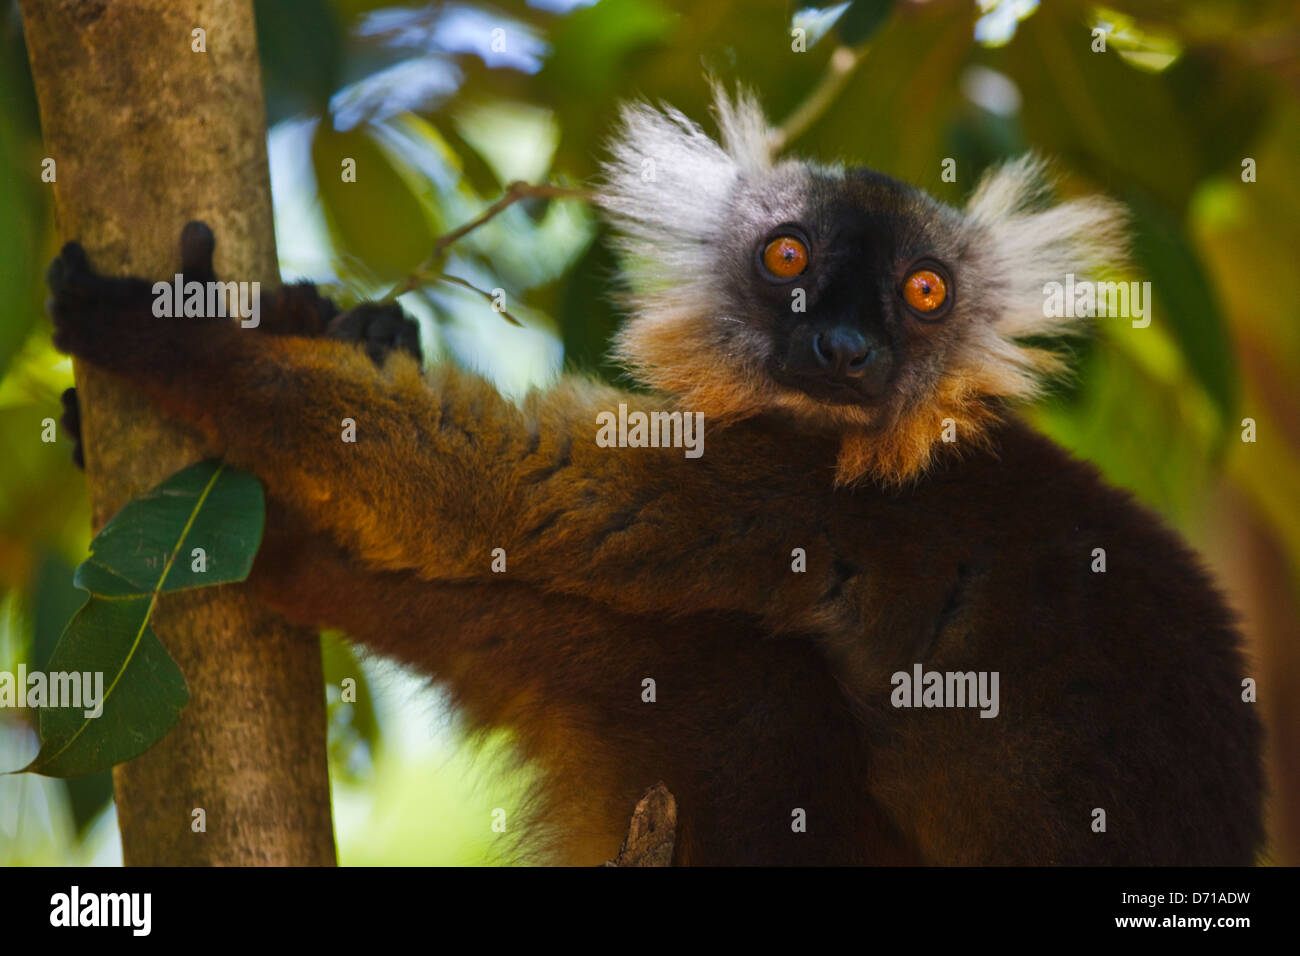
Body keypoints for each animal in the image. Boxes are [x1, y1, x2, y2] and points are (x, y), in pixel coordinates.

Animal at [46, 88, 1263, 865]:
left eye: (924, 293)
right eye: (786, 257)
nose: (844, 351)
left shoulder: (793, 490)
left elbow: (498, 491)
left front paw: (157, 335)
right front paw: (345, 325)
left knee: (737, 674)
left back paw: (292, 560)